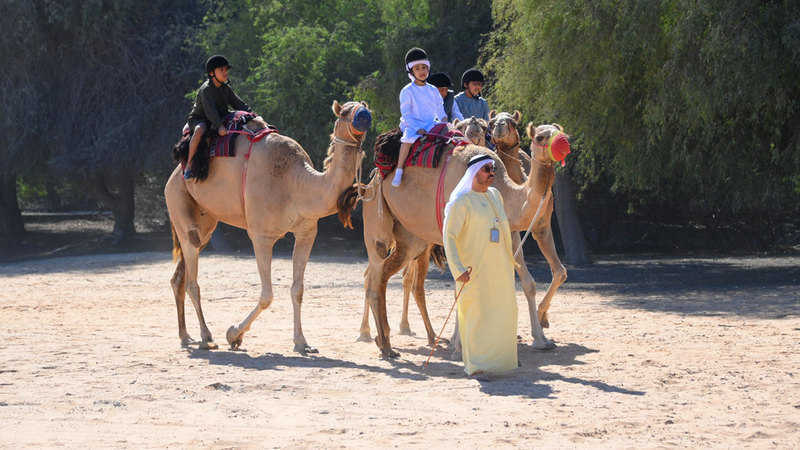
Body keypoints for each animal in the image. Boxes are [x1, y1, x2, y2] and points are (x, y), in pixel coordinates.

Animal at [167, 100, 374, 354]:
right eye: (345, 112)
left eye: (363, 106)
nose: (364, 115)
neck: (296, 182)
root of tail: (174, 175)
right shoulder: (261, 235)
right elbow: (267, 295)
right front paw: (233, 334)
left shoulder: (307, 232)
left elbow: (298, 289)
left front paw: (302, 342)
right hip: (178, 201)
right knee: (192, 280)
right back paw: (206, 337)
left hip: (205, 223)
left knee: (181, 275)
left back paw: (185, 336)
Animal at [352, 123, 568, 358]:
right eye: (540, 137)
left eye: (560, 131)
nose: (564, 143)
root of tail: (373, 178)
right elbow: (462, 285)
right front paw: (459, 347)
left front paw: (541, 339)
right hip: (376, 216)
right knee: (374, 274)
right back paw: (380, 341)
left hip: (412, 239)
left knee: (386, 277)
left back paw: (389, 341)